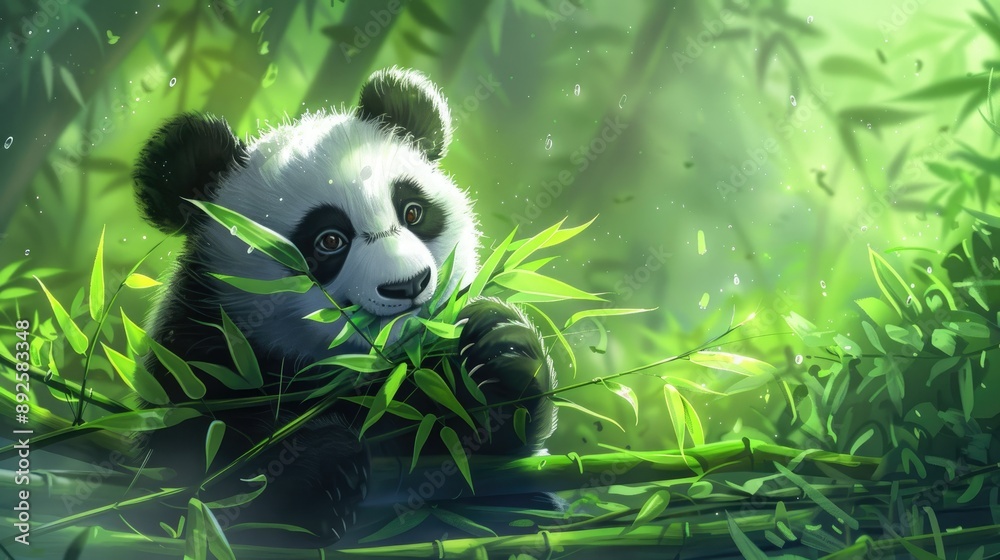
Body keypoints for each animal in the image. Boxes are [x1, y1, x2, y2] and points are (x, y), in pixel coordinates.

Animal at [129, 67, 557, 547]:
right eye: (329, 240)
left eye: (412, 212)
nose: (408, 284)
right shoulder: (200, 357)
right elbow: (197, 484)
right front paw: (316, 466)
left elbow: (493, 479)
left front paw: (500, 353)